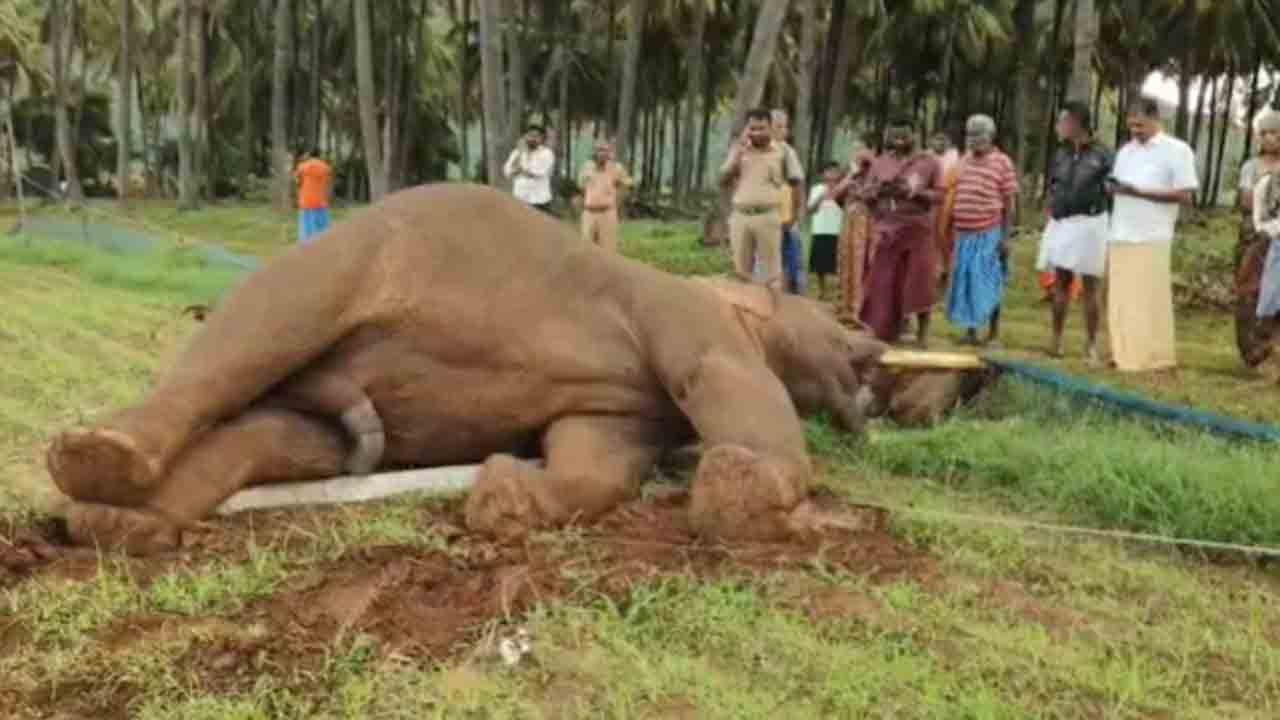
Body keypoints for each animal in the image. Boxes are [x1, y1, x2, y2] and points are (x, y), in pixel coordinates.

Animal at [44, 182, 893, 556]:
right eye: (835, 331)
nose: (874, 360)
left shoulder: (629, 409)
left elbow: (597, 452)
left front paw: (501, 499)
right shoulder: (686, 313)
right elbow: (723, 375)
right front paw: (753, 496)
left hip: (336, 410)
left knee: (277, 435)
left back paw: (115, 523)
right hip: (345, 264)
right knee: (256, 333)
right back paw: (95, 456)